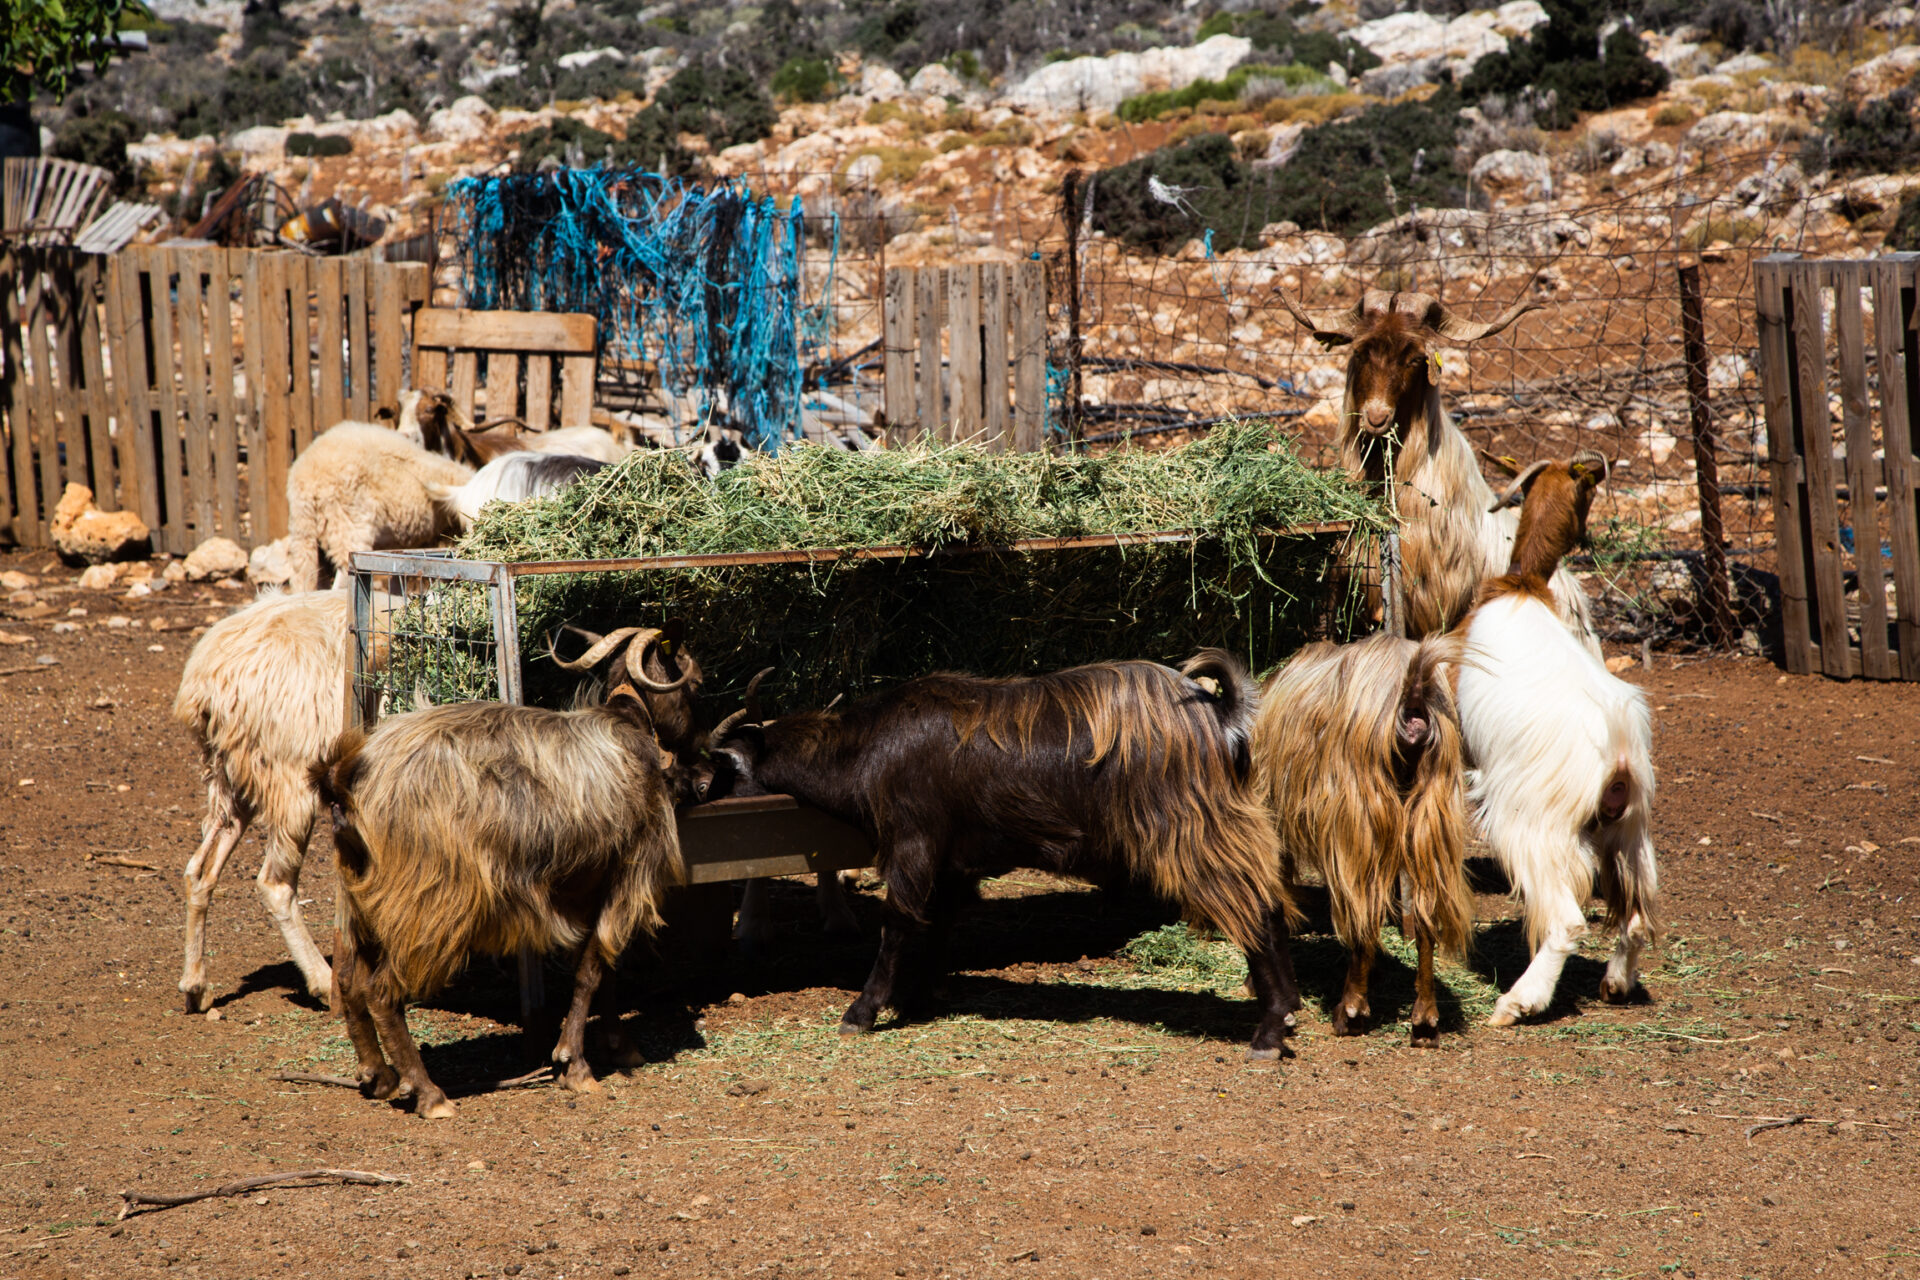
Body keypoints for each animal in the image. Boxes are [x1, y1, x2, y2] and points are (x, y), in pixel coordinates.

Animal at [173, 589, 392, 1010]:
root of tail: (205, 680)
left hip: (233, 778)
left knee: (199, 870)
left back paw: (195, 984)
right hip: (290, 779)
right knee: (274, 884)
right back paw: (323, 981)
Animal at [313, 625, 702, 1117]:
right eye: (693, 683)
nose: (698, 746)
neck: (626, 725)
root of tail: (349, 782)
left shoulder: (589, 887)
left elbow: (604, 968)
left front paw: (617, 1044)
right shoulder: (626, 876)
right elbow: (592, 970)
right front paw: (575, 1066)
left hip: (359, 897)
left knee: (349, 982)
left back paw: (378, 1075)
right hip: (426, 904)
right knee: (382, 993)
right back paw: (429, 1094)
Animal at [708, 652, 1305, 1059]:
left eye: (727, 766)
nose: (698, 796)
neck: (866, 747)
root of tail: (1220, 714)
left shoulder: (914, 840)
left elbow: (898, 922)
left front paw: (863, 1010)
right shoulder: (952, 859)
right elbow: (940, 923)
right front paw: (921, 996)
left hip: (1191, 831)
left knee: (1254, 911)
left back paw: (1269, 1031)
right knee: (1271, 906)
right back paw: (1288, 1012)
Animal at [1253, 633, 1470, 1046]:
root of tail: (1412, 694)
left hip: (1360, 814)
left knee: (1362, 912)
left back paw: (1350, 1011)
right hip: (1432, 812)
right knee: (1425, 916)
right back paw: (1425, 1020)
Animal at [1454, 451, 1658, 1025]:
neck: (1522, 585)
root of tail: (1618, 754)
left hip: (1532, 822)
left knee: (1567, 920)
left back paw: (1519, 1002)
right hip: (1628, 831)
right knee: (1636, 916)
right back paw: (1616, 984)